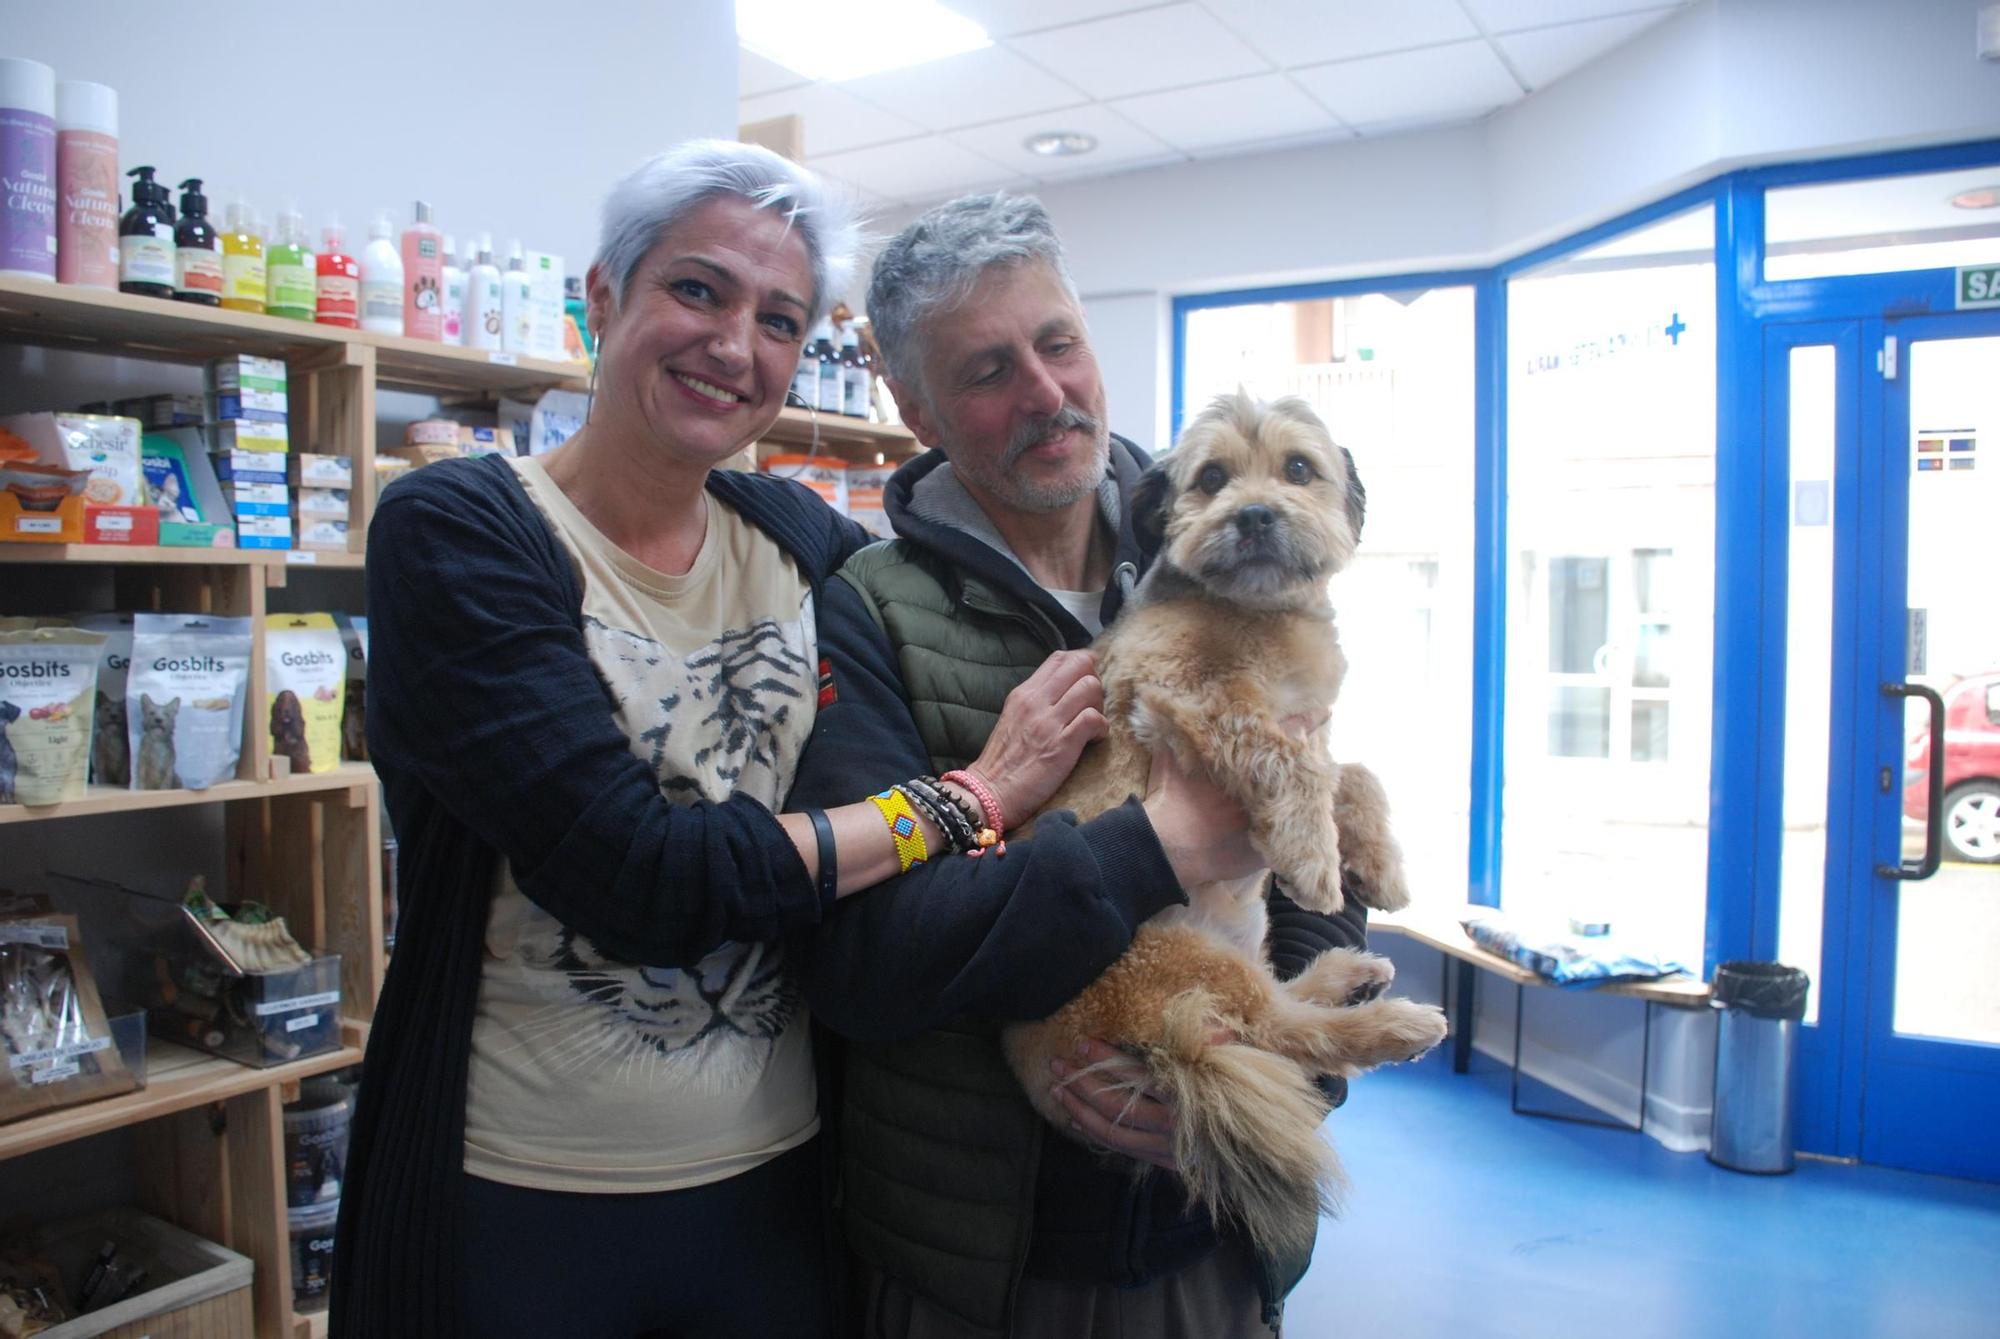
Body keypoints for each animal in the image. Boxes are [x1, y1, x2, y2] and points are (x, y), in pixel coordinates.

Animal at [1008, 391, 1448, 1271]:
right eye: (1211, 478)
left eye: (1299, 469)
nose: (1253, 515)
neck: (1253, 611)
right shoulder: (1187, 696)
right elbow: (1291, 759)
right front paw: (1314, 857)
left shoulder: (1314, 720)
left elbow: (1354, 770)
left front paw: (1378, 863)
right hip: (1174, 957)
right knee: (1290, 1033)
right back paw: (1391, 1023)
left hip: (1232, 945)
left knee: (1281, 1010)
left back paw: (1349, 973)